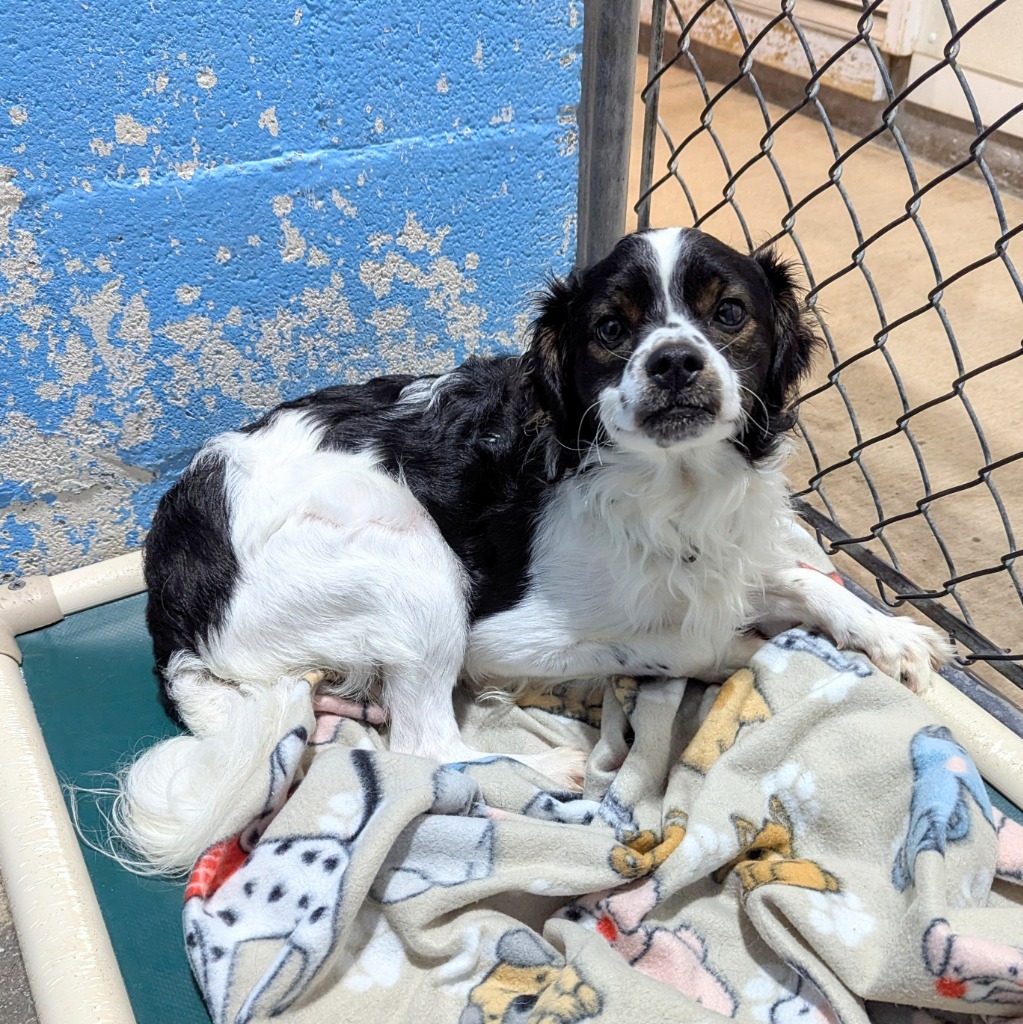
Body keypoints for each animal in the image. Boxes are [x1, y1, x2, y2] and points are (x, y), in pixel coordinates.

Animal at [114, 226, 950, 872]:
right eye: (610, 329)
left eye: (729, 314)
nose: (673, 361)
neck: (671, 490)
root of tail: (170, 614)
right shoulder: (501, 635)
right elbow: (679, 641)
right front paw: (738, 650)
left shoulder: (729, 557)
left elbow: (803, 580)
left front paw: (889, 634)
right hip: (410, 557)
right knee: (421, 742)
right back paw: (551, 766)